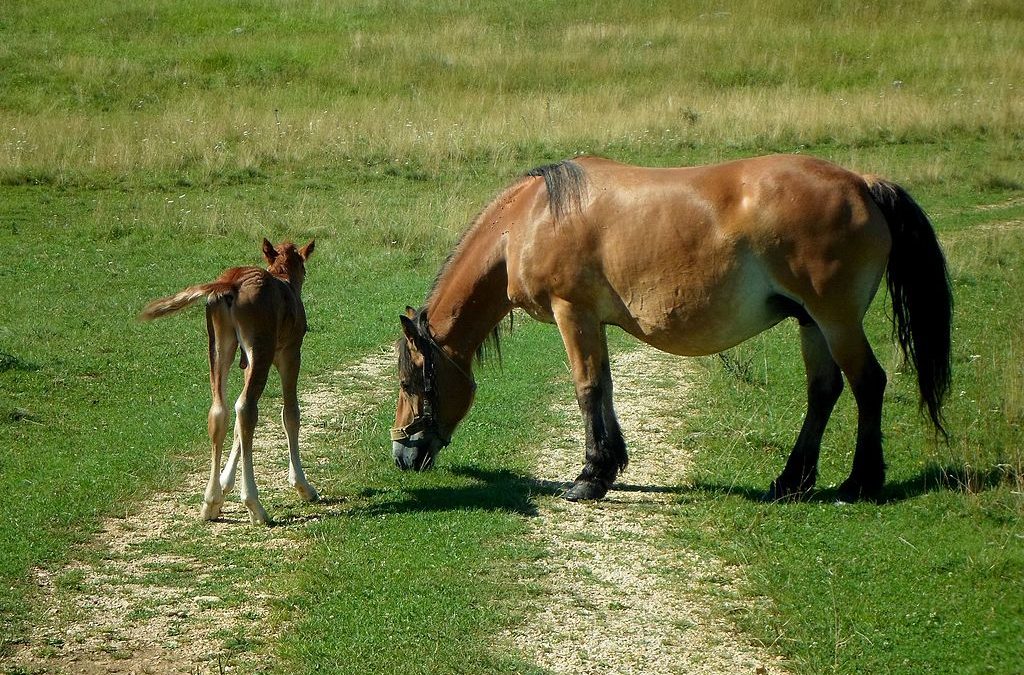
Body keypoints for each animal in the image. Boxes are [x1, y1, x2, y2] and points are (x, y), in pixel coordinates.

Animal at [140, 240, 315, 524]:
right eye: (304, 269)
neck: (285, 280)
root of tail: (230, 283)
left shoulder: (247, 362)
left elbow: (236, 427)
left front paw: (223, 485)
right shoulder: (290, 353)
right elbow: (290, 414)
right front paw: (303, 485)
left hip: (220, 345)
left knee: (220, 410)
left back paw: (210, 502)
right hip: (261, 349)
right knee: (246, 408)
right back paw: (255, 505)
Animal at [389, 153, 950, 501]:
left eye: (412, 383)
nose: (402, 453)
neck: (531, 217)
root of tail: (863, 185)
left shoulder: (573, 313)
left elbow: (587, 389)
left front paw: (588, 478)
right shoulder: (594, 320)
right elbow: (606, 388)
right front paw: (610, 467)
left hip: (836, 322)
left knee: (868, 383)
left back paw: (860, 483)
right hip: (812, 324)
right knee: (824, 391)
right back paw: (792, 481)